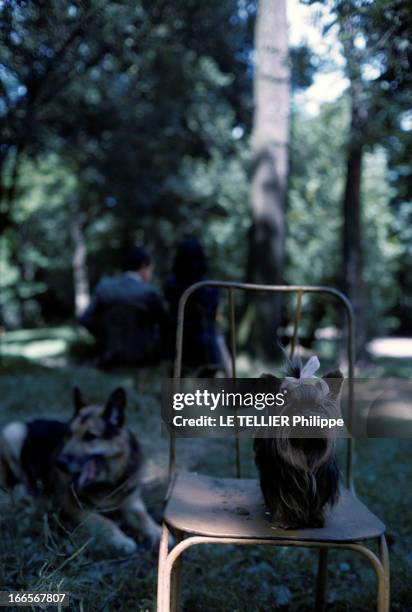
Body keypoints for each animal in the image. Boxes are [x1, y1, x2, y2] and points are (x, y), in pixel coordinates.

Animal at [0, 388, 162, 556]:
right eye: (69, 434)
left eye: (90, 436)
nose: (59, 463)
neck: (108, 481)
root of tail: (32, 421)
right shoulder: (74, 507)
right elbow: (104, 521)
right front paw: (121, 540)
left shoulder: (133, 503)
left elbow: (144, 516)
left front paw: (157, 531)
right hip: (13, 432)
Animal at [254, 356, 344, 528]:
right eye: (294, 408)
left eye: (317, 407)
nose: (308, 419)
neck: (305, 447)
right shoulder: (278, 478)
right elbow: (282, 499)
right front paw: (287, 519)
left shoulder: (323, 478)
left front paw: (316, 518)